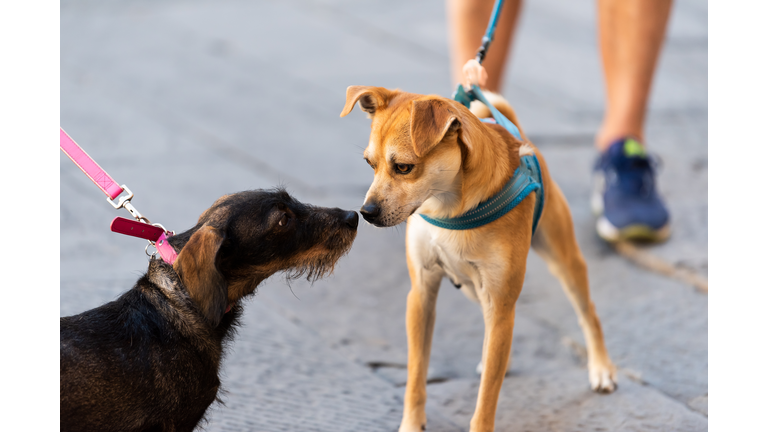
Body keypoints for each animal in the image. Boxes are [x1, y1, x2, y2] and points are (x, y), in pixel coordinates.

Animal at [342, 86, 616, 430]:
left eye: (404, 167)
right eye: (370, 164)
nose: (366, 212)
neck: (448, 206)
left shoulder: (499, 302)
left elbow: (486, 397)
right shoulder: (421, 294)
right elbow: (416, 373)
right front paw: (412, 423)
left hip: (561, 260)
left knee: (587, 312)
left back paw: (601, 367)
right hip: (477, 289)